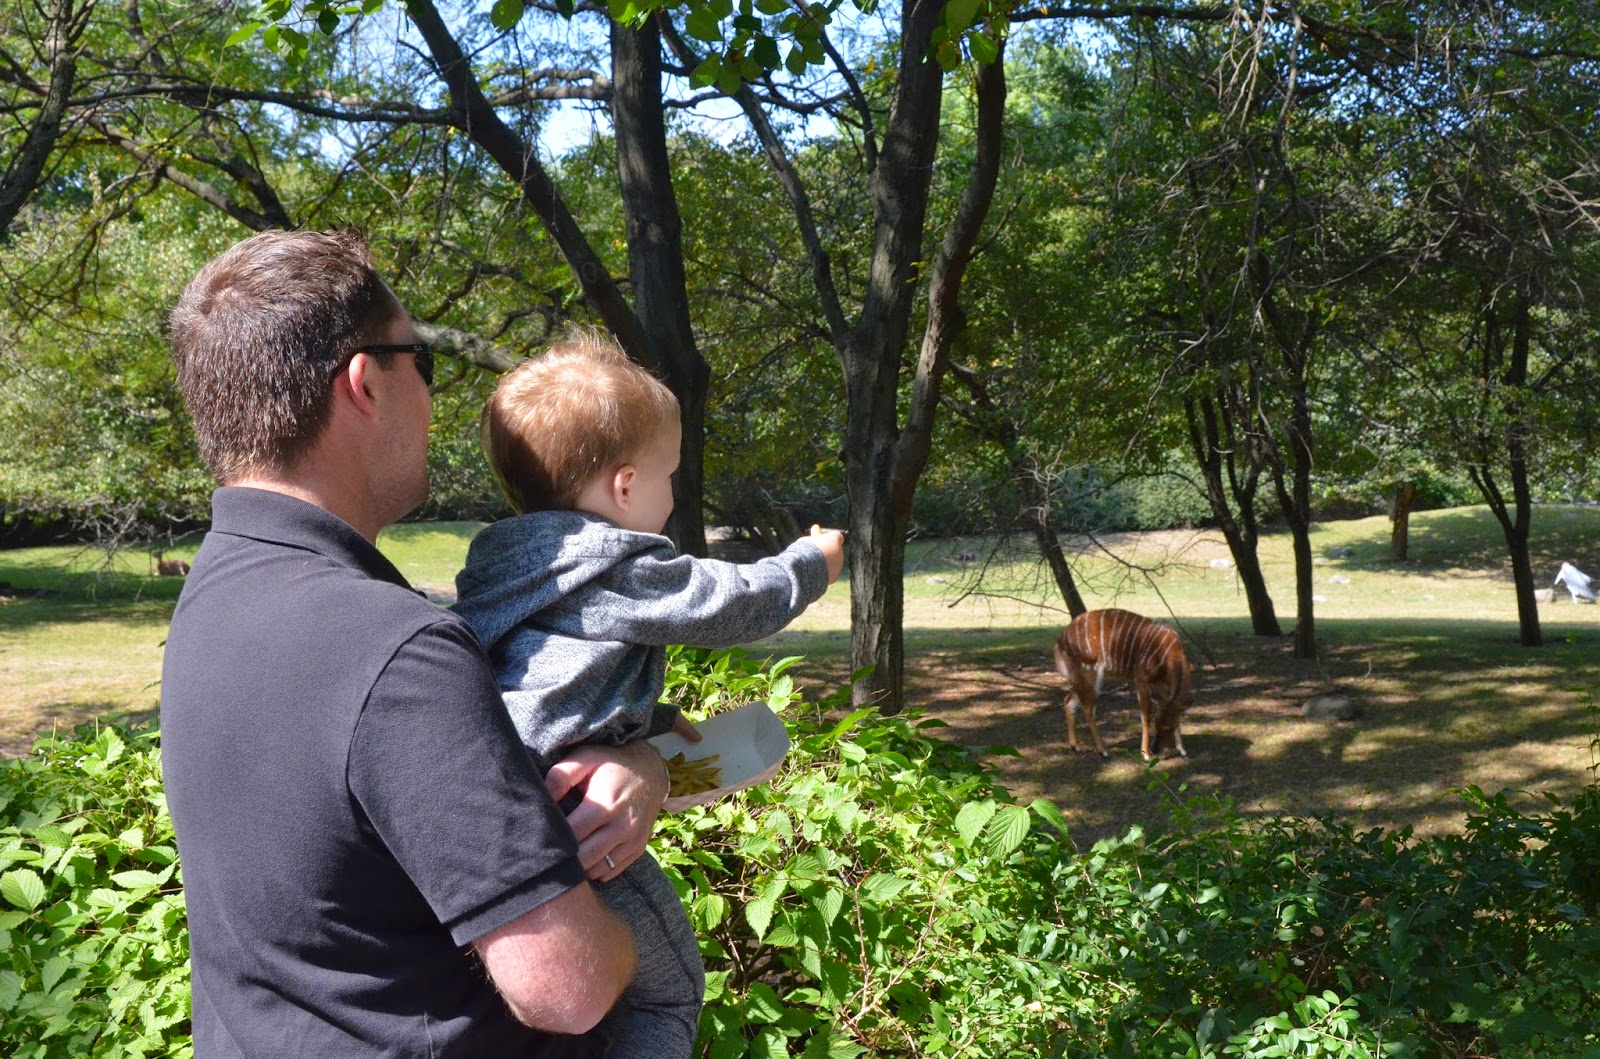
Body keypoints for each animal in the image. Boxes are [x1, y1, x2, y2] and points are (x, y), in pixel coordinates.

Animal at [1053, 608, 1192, 760]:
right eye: (1157, 725)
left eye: (1170, 727)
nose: (1155, 749)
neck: (1170, 656)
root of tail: (1060, 640)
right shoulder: (1140, 677)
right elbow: (1145, 715)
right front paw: (1145, 754)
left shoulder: (1163, 688)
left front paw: (1182, 749)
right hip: (1090, 672)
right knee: (1088, 708)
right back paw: (1103, 751)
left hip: (1080, 677)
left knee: (1069, 700)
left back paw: (1075, 746)